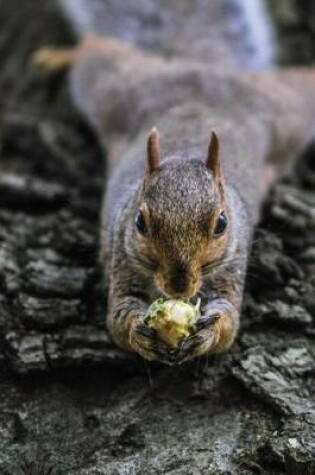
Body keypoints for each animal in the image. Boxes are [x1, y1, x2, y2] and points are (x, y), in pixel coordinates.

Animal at [32, 0, 315, 364]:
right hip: (116, 87)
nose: (179, 286)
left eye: (222, 223)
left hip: (286, 111)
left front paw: (210, 330)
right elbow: (118, 318)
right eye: (139, 222)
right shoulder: (122, 258)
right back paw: (58, 56)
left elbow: (229, 324)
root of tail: (201, 63)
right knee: (95, 50)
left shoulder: (231, 266)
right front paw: (138, 330)